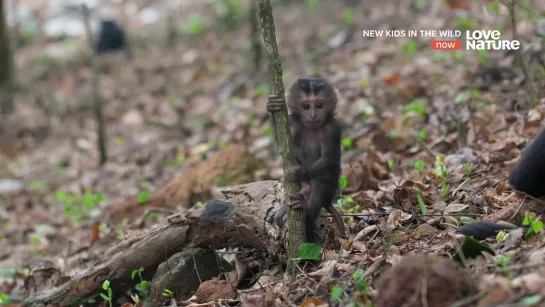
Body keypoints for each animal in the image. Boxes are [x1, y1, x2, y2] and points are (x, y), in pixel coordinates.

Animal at [266, 77, 346, 243]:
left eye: (319, 105)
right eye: (306, 106)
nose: (313, 115)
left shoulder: (333, 127)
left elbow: (329, 158)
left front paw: (296, 173)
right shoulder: (292, 122)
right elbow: (284, 144)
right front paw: (272, 107)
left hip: (329, 186)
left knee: (317, 191)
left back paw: (305, 217)